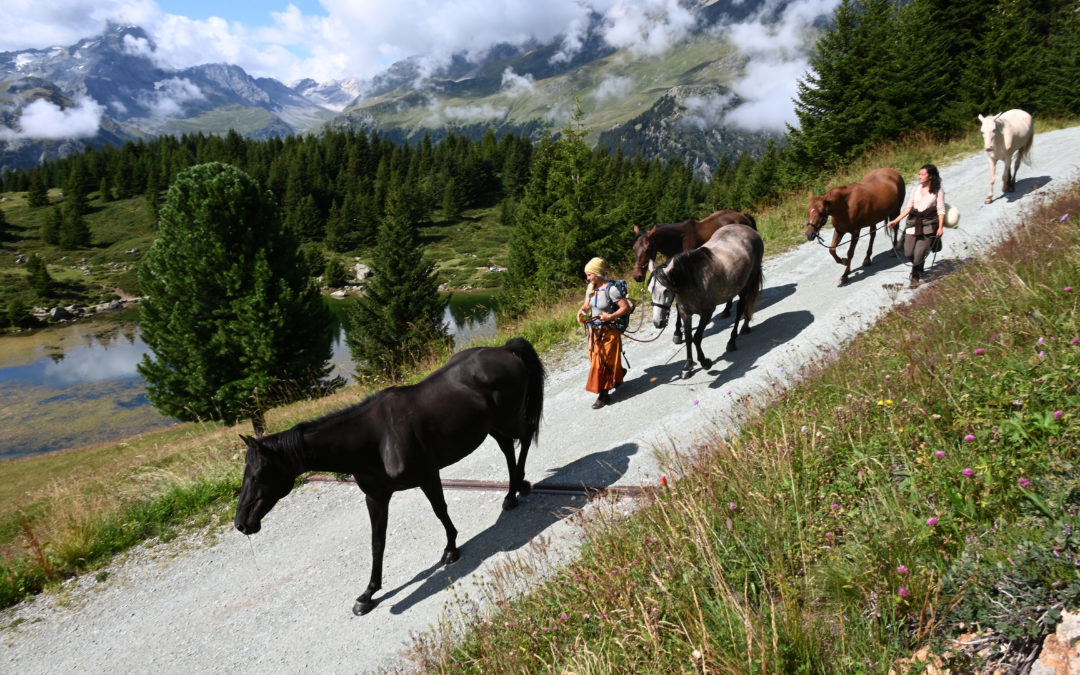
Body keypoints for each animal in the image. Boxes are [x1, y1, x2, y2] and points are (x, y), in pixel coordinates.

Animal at [232, 336, 544, 617]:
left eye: (258, 475)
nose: (241, 524)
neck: (375, 440)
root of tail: (503, 350)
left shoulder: (428, 476)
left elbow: (440, 511)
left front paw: (451, 550)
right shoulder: (377, 496)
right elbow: (377, 542)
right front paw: (368, 594)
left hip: (508, 420)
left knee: (525, 437)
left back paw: (518, 488)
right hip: (493, 426)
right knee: (508, 450)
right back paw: (512, 491)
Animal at [648, 223, 760, 375]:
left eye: (666, 290)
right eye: (650, 291)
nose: (657, 322)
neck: (692, 279)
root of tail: (748, 229)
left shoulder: (707, 313)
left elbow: (697, 337)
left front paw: (705, 362)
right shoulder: (685, 313)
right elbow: (688, 337)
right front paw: (688, 366)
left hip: (747, 285)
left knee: (741, 309)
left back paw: (732, 341)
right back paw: (745, 327)